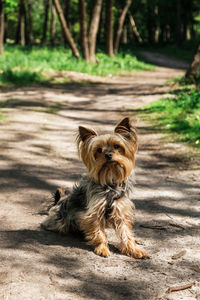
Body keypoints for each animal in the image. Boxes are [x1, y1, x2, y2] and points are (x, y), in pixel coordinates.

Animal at [41, 117, 148, 258]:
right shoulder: (94, 213)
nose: (108, 155)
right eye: (99, 150)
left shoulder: (120, 211)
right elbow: (99, 233)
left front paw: (133, 249)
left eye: (116, 146)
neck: (110, 182)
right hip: (60, 220)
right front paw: (102, 248)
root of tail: (57, 204)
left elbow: (126, 233)